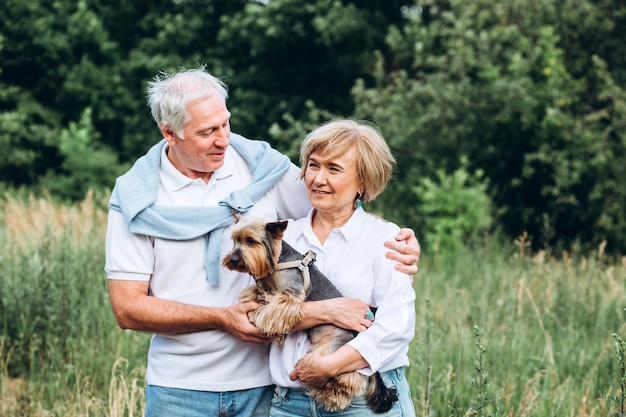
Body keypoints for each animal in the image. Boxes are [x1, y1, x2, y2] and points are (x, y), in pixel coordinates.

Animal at [221, 216, 394, 412]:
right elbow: (259, 292)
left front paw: (257, 315)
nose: (233, 259)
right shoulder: (268, 289)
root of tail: (355, 335)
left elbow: (273, 309)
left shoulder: (290, 295)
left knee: (352, 377)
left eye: (250, 240)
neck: (277, 261)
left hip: (332, 350)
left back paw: (334, 395)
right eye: (234, 241)